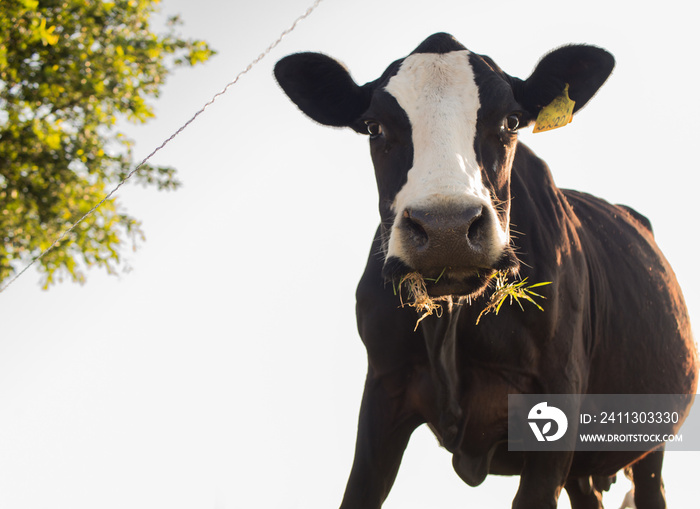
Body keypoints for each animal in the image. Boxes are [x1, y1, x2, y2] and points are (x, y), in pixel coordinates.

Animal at [274, 33, 700, 506]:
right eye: (373, 126)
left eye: (511, 121)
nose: (447, 228)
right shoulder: (383, 388)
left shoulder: (557, 395)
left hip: (651, 441)